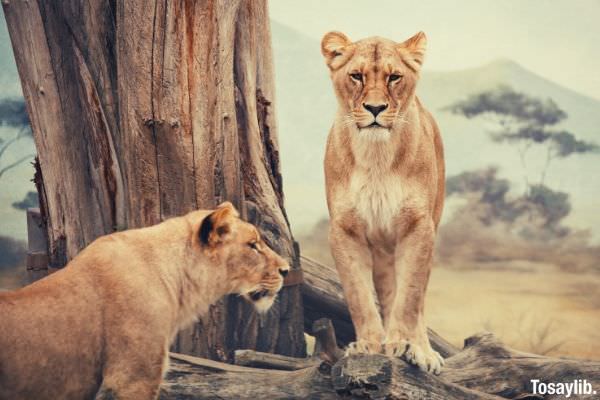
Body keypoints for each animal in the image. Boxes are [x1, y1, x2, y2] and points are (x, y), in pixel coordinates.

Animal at [324, 29, 446, 374]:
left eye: (394, 77)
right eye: (356, 76)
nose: (376, 108)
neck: (376, 155)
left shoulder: (418, 226)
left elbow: (410, 298)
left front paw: (404, 345)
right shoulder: (344, 229)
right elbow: (359, 295)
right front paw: (368, 345)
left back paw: (422, 350)